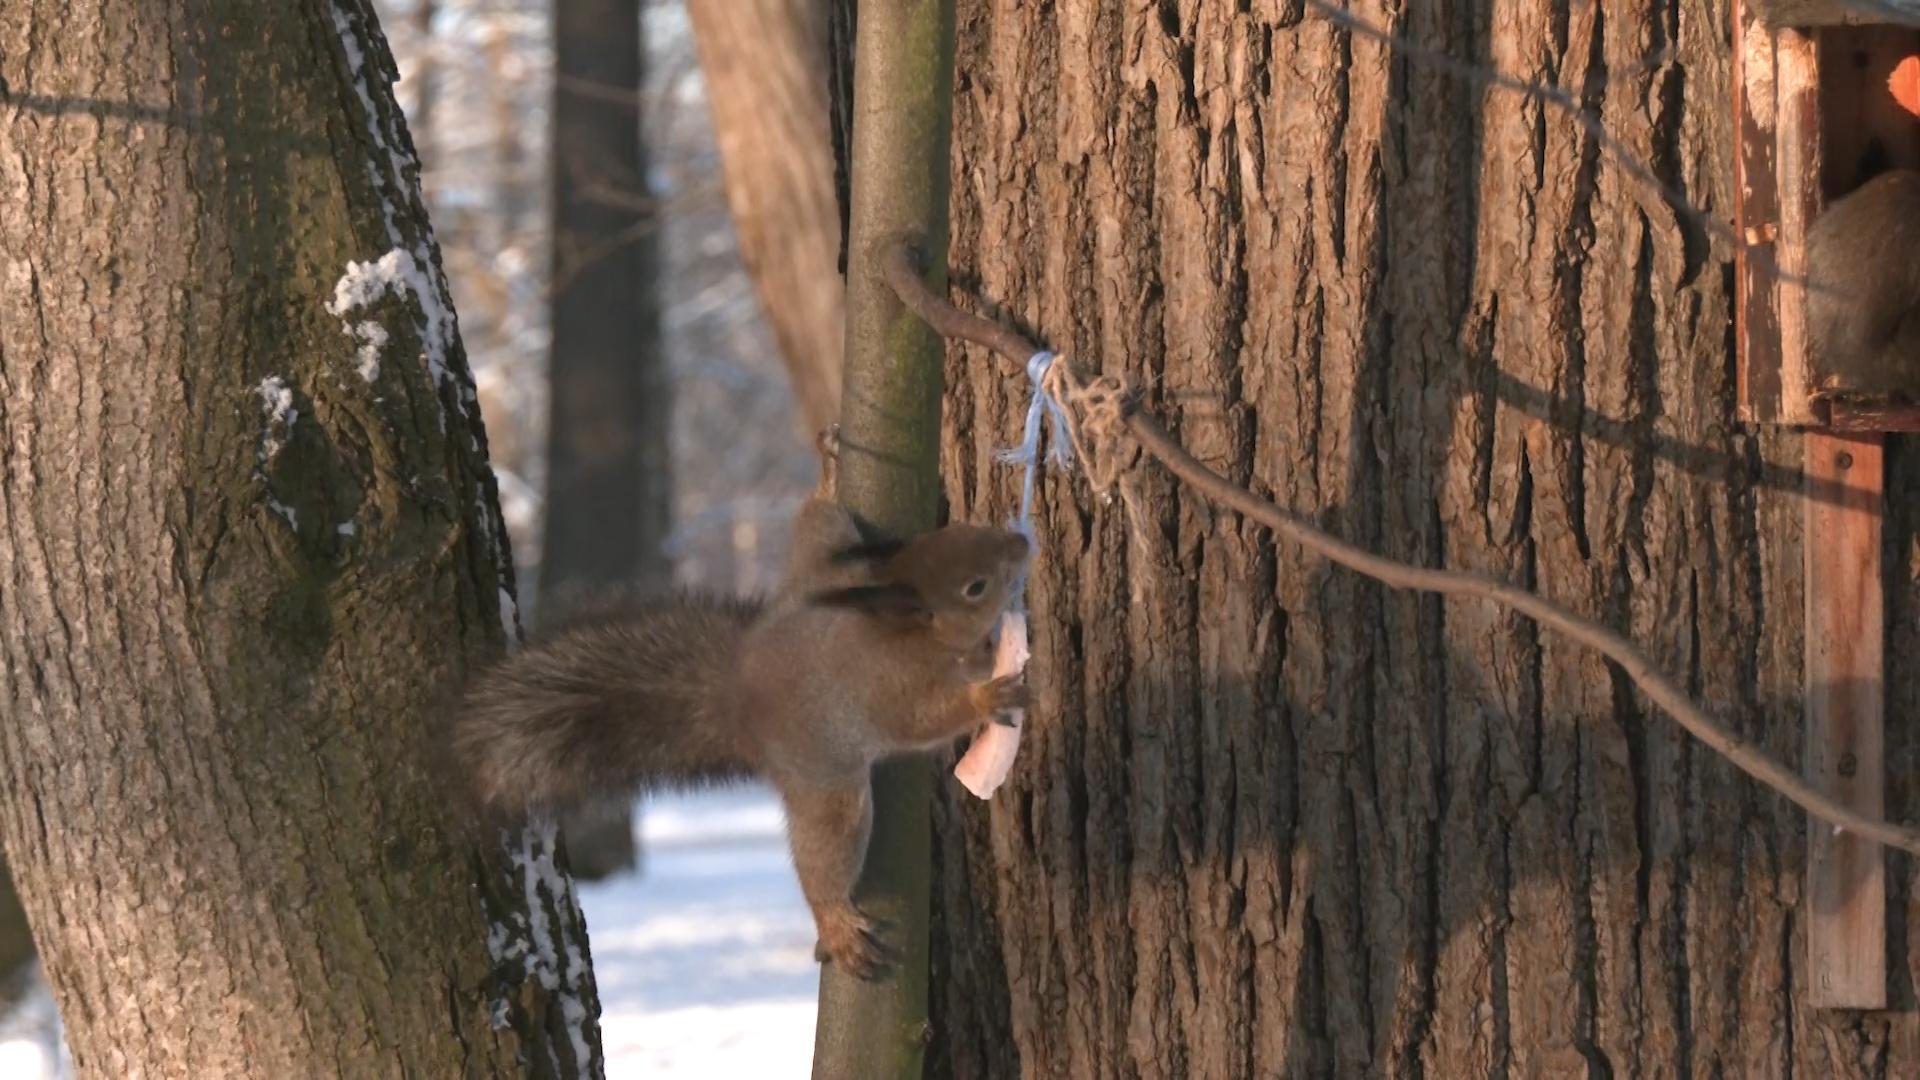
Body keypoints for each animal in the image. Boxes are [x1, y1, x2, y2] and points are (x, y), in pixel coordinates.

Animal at [445, 430, 1036, 976]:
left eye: (965, 531)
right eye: (975, 587)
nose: (1021, 545)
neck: (905, 631)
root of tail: (739, 699)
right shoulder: (892, 689)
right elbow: (926, 719)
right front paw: (987, 694)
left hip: (823, 572)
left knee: (819, 526)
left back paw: (827, 478)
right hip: (827, 787)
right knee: (825, 856)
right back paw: (834, 924)